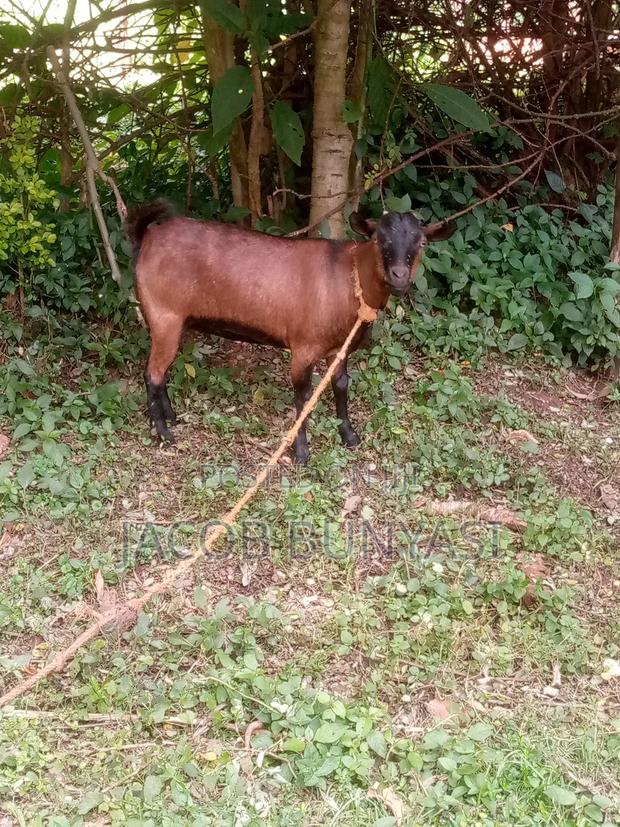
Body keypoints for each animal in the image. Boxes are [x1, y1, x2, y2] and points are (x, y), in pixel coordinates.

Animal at [125, 201, 455, 463]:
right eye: (377, 239)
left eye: (422, 244)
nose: (399, 276)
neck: (349, 279)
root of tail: (148, 237)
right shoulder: (303, 348)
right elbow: (303, 396)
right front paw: (301, 452)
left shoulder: (339, 348)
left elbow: (341, 386)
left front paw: (349, 436)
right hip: (164, 316)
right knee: (152, 374)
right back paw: (163, 433)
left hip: (174, 322)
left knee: (161, 371)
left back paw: (171, 418)